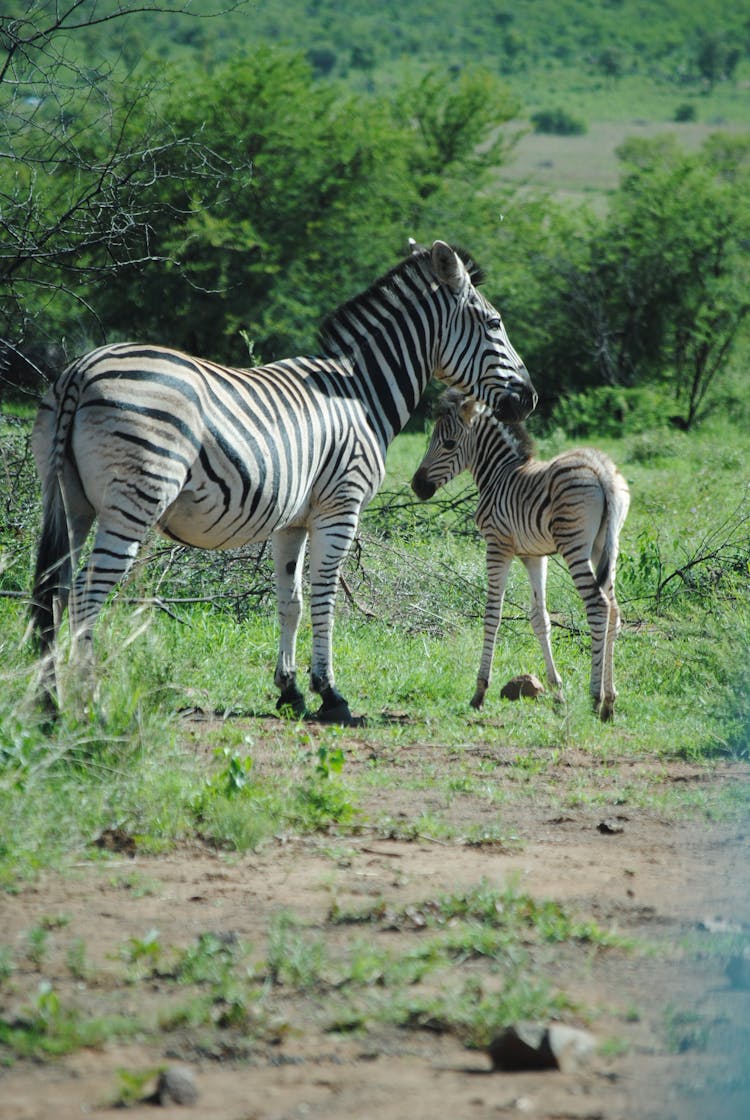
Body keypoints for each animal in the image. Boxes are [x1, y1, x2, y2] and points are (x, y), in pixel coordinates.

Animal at [32, 240, 537, 721]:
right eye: (494, 323)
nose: (530, 399)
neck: (361, 392)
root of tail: (81, 371)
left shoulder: (291, 520)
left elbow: (289, 601)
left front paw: (289, 690)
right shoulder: (340, 507)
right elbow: (324, 599)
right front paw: (330, 694)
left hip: (70, 502)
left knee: (55, 591)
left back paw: (48, 703)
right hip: (134, 500)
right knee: (85, 594)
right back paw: (89, 702)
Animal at [414, 387, 631, 716]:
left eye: (448, 443)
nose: (417, 486)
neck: (498, 473)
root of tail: (601, 469)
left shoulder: (497, 545)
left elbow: (492, 614)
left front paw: (479, 691)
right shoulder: (534, 555)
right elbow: (540, 619)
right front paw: (557, 692)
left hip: (574, 546)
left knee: (598, 606)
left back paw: (596, 697)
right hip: (605, 547)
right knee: (614, 612)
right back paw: (610, 701)